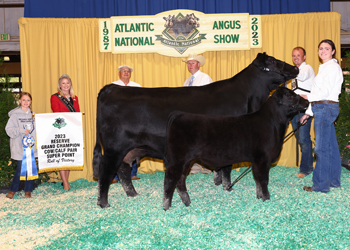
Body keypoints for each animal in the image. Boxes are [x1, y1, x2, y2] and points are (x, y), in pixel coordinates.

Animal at [164, 88, 308, 211]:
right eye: (289, 96)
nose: (307, 101)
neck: (273, 124)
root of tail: (180, 114)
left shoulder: (256, 161)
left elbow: (257, 179)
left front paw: (259, 196)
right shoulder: (263, 158)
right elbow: (263, 179)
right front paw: (267, 199)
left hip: (186, 161)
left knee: (180, 180)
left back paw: (187, 202)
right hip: (178, 159)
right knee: (170, 179)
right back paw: (166, 207)